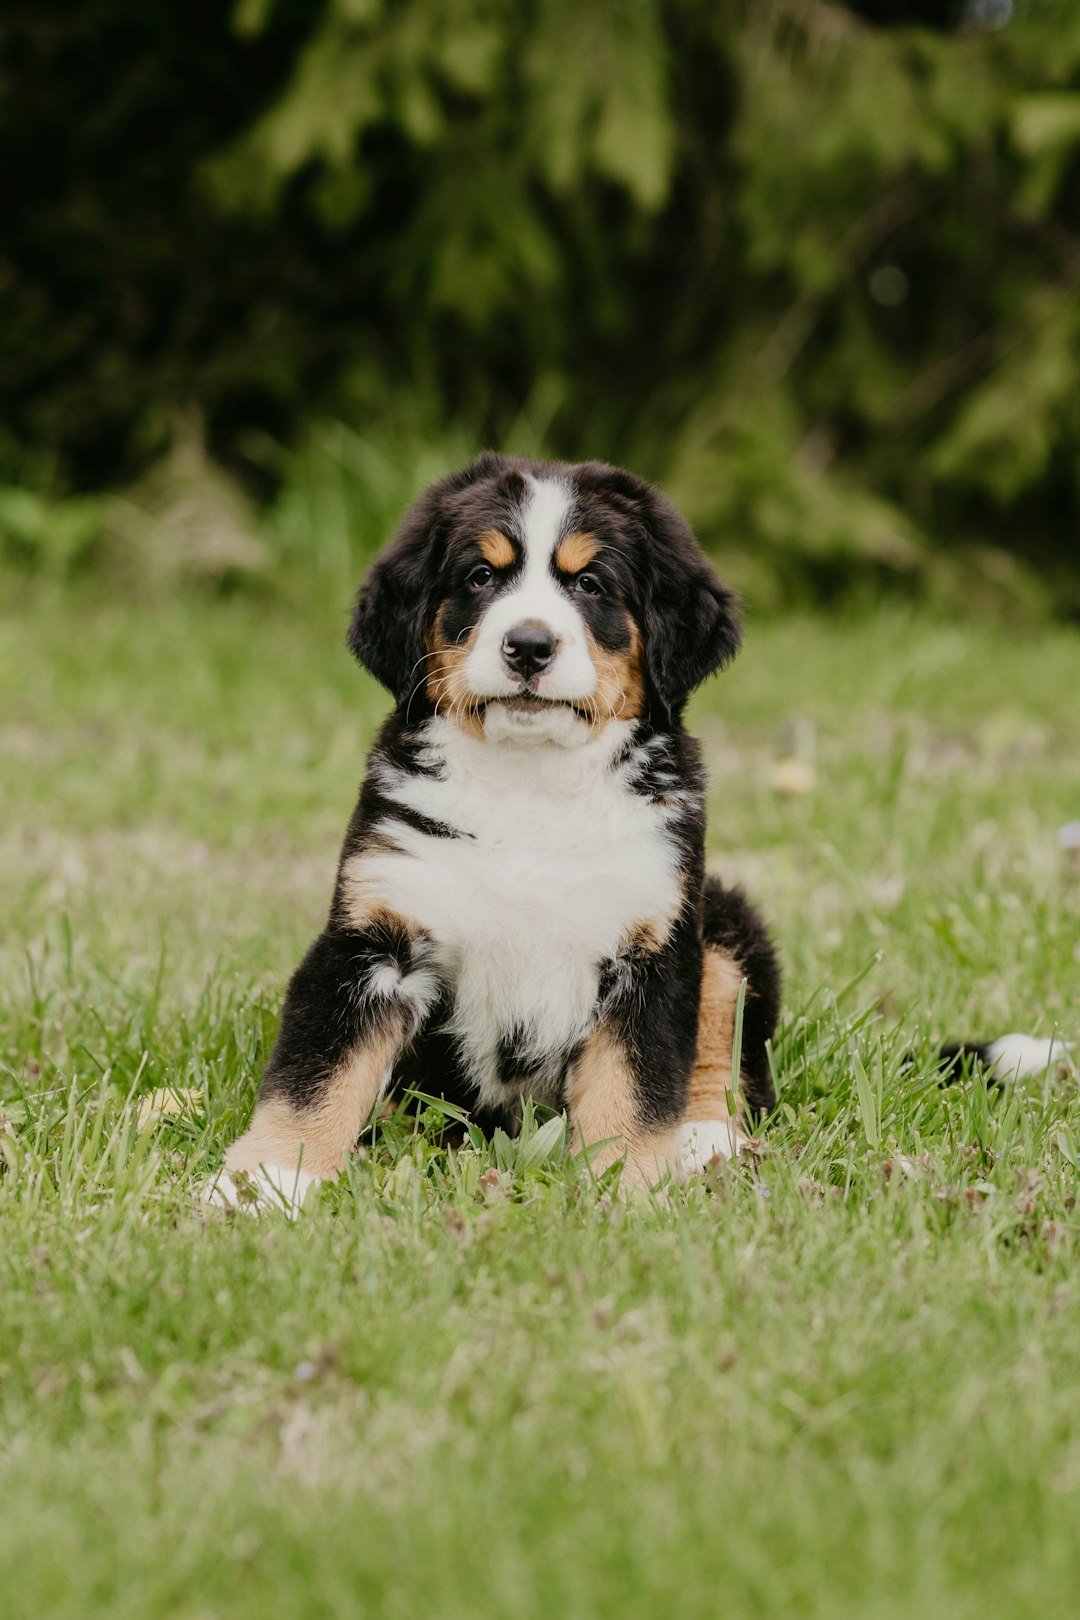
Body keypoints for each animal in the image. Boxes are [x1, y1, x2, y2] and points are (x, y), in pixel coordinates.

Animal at [208, 450, 1062, 1211]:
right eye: (480, 577)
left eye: (590, 584)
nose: (528, 645)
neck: (531, 788)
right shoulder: (371, 941)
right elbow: (315, 1074)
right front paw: (266, 1183)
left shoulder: (651, 950)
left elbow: (637, 1087)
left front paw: (629, 1190)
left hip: (722, 921)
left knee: (732, 1059)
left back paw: (704, 1140)